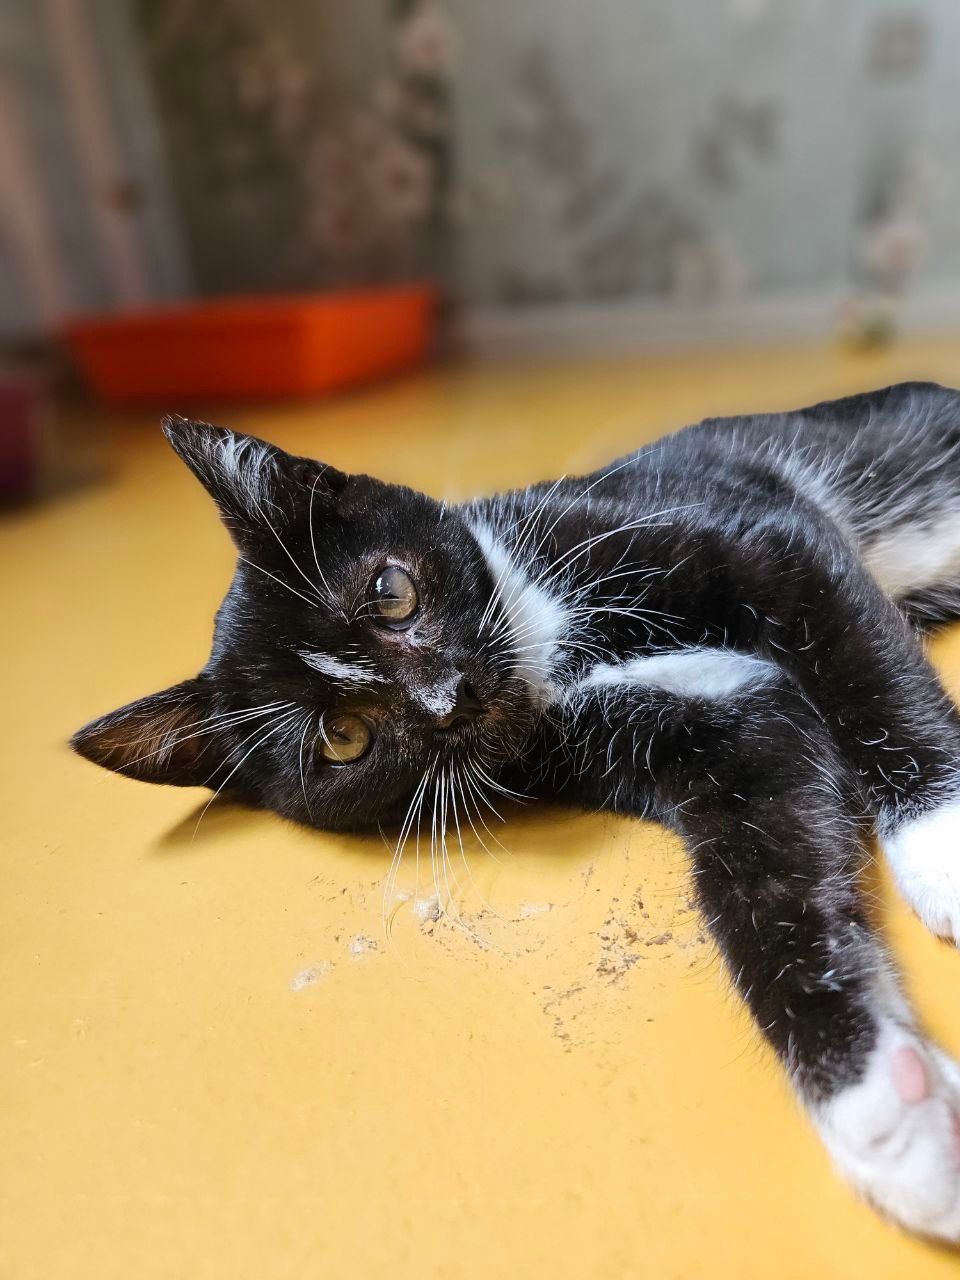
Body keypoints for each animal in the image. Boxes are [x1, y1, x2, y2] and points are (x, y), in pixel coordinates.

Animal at [73, 380, 960, 1242]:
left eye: (392, 592)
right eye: (342, 738)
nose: (450, 697)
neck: (547, 645)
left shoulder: (753, 532)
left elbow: (859, 663)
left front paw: (940, 845)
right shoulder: (728, 725)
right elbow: (767, 880)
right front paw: (889, 1118)